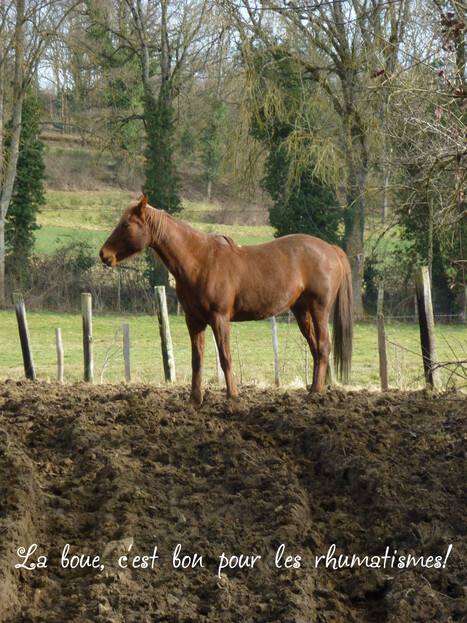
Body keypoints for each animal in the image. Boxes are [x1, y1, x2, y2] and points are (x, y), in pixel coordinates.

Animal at [99, 197, 354, 408]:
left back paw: (316, 394)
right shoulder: (194, 321)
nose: (103, 254)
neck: (200, 260)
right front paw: (194, 400)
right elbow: (197, 360)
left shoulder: (220, 318)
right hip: (302, 311)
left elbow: (225, 357)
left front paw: (232, 397)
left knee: (323, 347)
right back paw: (312, 391)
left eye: (126, 225)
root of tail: (331, 249)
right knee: (315, 348)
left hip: (319, 309)